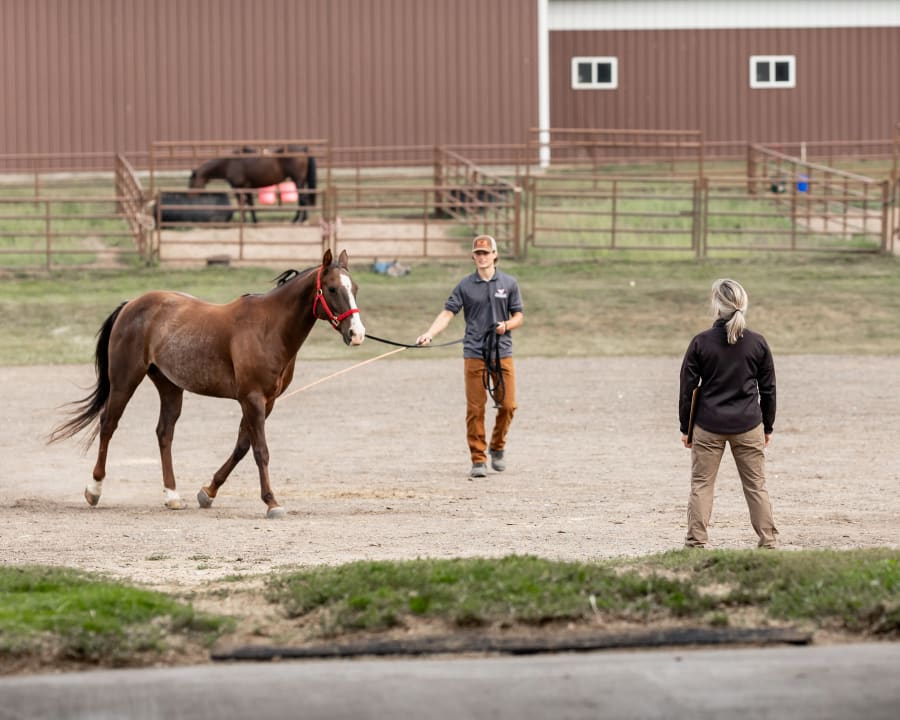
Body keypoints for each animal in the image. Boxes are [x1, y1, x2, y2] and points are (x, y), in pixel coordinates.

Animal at [48, 249, 366, 516]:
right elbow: (260, 451)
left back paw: (172, 495)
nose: (357, 333)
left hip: (170, 387)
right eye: (332, 289)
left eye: (355, 288)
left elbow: (242, 447)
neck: (269, 328)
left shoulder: (266, 401)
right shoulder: (252, 398)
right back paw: (94, 490)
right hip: (125, 380)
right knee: (108, 425)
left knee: (164, 433)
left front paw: (208, 492)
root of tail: (131, 305)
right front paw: (272, 502)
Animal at [188, 145, 318, 224]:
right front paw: (254, 221)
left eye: (191, 183)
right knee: (302, 200)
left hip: (298, 181)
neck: (229, 163)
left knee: (303, 200)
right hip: (300, 182)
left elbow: (243, 204)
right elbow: (250, 204)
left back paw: (298, 220)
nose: (191, 197)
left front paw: (246, 221)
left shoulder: (239, 188)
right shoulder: (247, 188)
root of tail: (303, 149)